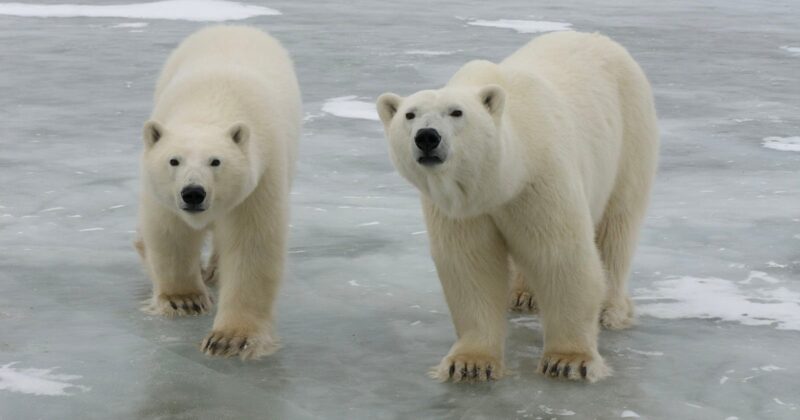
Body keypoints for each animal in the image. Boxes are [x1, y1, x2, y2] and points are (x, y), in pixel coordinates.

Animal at [135, 25, 301, 360]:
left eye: (216, 161)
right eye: (174, 160)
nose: (193, 193)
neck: (212, 103)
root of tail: (234, 26)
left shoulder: (260, 178)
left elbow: (252, 246)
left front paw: (231, 338)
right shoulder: (162, 193)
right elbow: (170, 232)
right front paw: (184, 300)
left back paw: (214, 270)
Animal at [377, 31, 658, 383]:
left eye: (456, 112)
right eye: (409, 114)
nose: (427, 137)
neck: (502, 179)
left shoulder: (540, 179)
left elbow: (561, 254)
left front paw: (568, 360)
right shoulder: (462, 209)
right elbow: (472, 265)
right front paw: (469, 363)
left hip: (629, 136)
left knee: (617, 226)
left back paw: (610, 308)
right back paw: (524, 294)